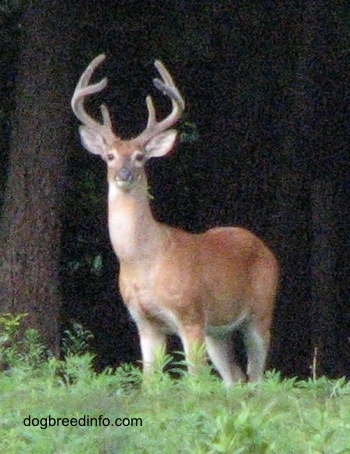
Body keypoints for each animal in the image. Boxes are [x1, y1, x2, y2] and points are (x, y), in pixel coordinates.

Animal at [71, 54, 278, 386]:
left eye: (140, 156)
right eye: (109, 156)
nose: (123, 174)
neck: (143, 260)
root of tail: (263, 246)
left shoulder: (190, 314)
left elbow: (195, 381)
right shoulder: (144, 323)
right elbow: (150, 382)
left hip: (260, 312)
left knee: (256, 377)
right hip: (218, 331)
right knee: (234, 377)